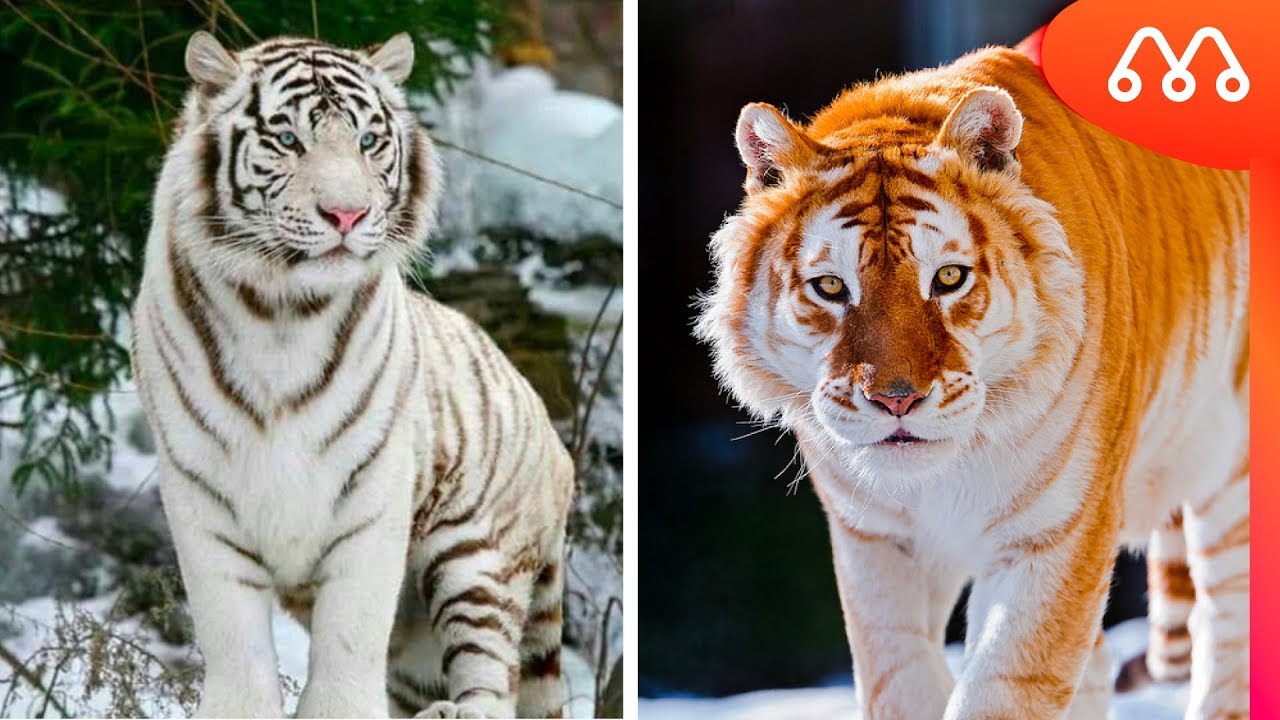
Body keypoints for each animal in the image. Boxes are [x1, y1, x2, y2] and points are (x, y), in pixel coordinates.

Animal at [130, 31, 574, 719]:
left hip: (475, 553)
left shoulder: (373, 494)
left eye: (368, 141)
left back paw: (457, 710)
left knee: (494, 678)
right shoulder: (201, 495)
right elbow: (233, 640)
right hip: (418, 644)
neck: (279, 313)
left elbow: (349, 639)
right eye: (287, 139)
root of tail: (559, 448)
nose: (346, 214)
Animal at [695, 44, 1248, 720]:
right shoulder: (874, 541)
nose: (896, 399)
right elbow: (898, 680)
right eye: (829, 287)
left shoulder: (1057, 538)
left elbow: (1004, 687)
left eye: (949, 278)